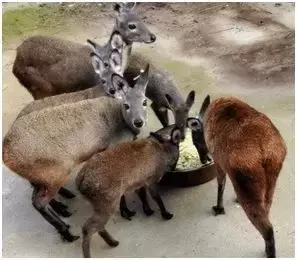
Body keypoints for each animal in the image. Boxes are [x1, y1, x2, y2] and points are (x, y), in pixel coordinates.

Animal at [2, 64, 149, 242]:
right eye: (126, 105)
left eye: (145, 101)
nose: (139, 122)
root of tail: (6, 154)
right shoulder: (113, 148)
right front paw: (126, 211)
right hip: (55, 171)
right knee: (38, 202)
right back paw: (66, 230)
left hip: (43, 174)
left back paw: (64, 204)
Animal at [75, 124, 180, 258]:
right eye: (179, 148)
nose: (175, 166)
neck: (163, 151)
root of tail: (80, 182)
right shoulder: (151, 179)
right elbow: (157, 198)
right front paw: (166, 214)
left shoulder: (139, 182)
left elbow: (143, 196)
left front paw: (148, 210)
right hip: (107, 203)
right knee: (88, 227)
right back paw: (106, 245)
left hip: (100, 204)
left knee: (97, 226)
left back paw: (113, 240)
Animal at [187, 95, 286, 258]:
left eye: (195, 141)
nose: (203, 160)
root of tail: (266, 151)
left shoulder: (218, 161)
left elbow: (220, 184)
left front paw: (219, 208)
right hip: (271, 180)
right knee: (266, 213)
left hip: (246, 182)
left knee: (267, 228)